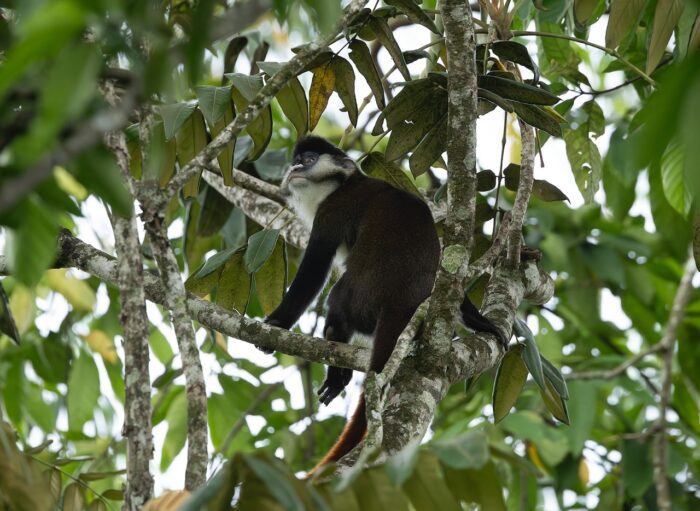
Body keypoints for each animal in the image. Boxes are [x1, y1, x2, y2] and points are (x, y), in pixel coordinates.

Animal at [264, 136, 508, 475]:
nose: (296, 167)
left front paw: (276, 323)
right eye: (296, 160)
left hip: (360, 298)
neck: (343, 184)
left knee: (337, 298)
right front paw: (481, 320)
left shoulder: (332, 212)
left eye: (309, 159)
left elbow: (313, 271)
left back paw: (336, 356)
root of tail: (400, 303)